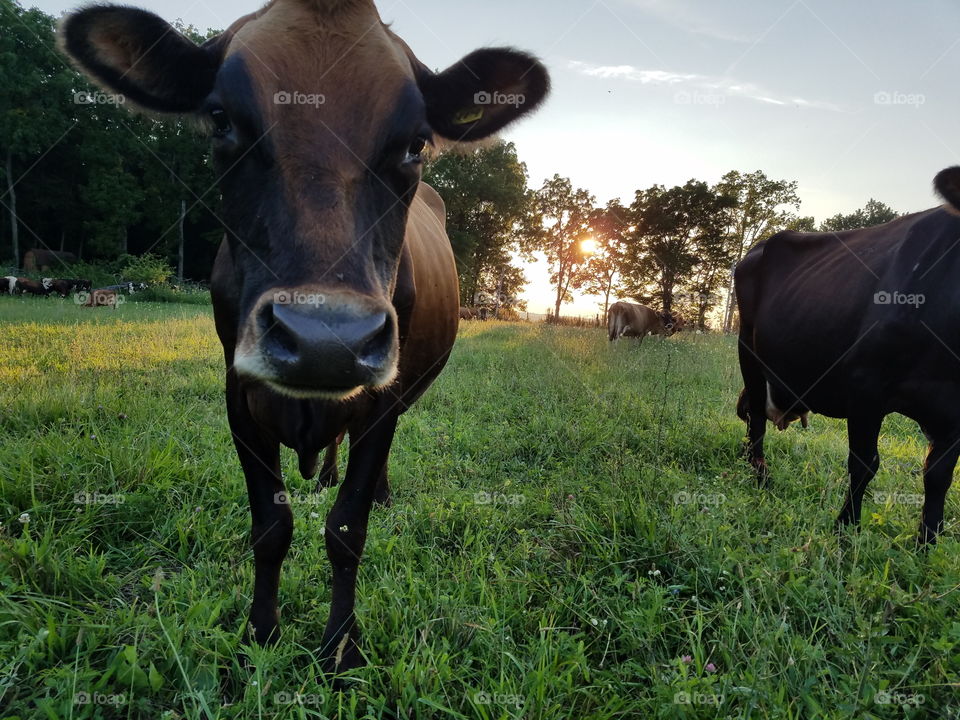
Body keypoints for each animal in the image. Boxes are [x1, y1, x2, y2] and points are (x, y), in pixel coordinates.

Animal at [61, 0, 549, 675]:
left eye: (416, 143)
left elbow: (347, 529)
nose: (326, 339)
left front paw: (340, 647)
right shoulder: (239, 394)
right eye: (221, 120)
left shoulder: (381, 398)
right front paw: (261, 633)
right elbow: (270, 524)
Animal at [736, 167, 960, 545]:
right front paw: (845, 529)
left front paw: (927, 544)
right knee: (756, 422)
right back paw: (762, 483)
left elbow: (938, 476)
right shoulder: (865, 386)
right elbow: (864, 463)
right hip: (748, 352)